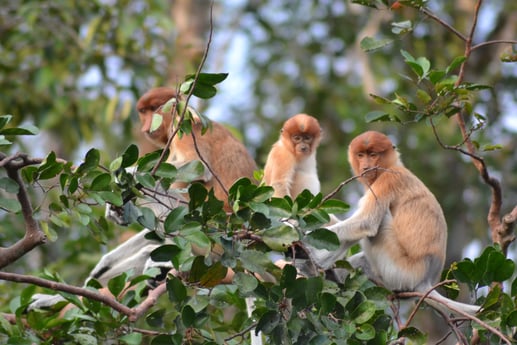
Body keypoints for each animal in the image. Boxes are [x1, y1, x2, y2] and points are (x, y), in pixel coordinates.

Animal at [304, 130, 478, 314]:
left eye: (373, 155)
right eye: (360, 155)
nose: (366, 167)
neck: (392, 165)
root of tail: (425, 281)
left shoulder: (388, 179)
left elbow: (366, 222)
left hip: (400, 272)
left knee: (377, 224)